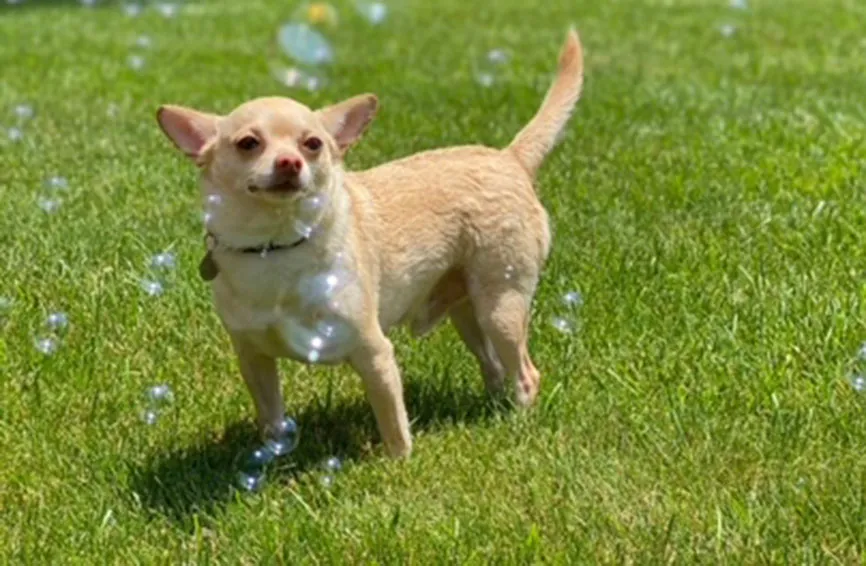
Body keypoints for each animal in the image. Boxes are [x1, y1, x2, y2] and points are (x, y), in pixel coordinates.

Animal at [159, 28, 584, 460]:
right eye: (248, 143)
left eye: (313, 144)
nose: (290, 163)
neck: (277, 246)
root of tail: (508, 158)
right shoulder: (253, 357)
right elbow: (271, 416)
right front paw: (272, 456)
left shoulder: (374, 353)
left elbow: (392, 419)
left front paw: (400, 462)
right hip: (469, 312)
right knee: (494, 365)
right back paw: (495, 409)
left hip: (501, 308)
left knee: (526, 372)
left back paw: (519, 419)